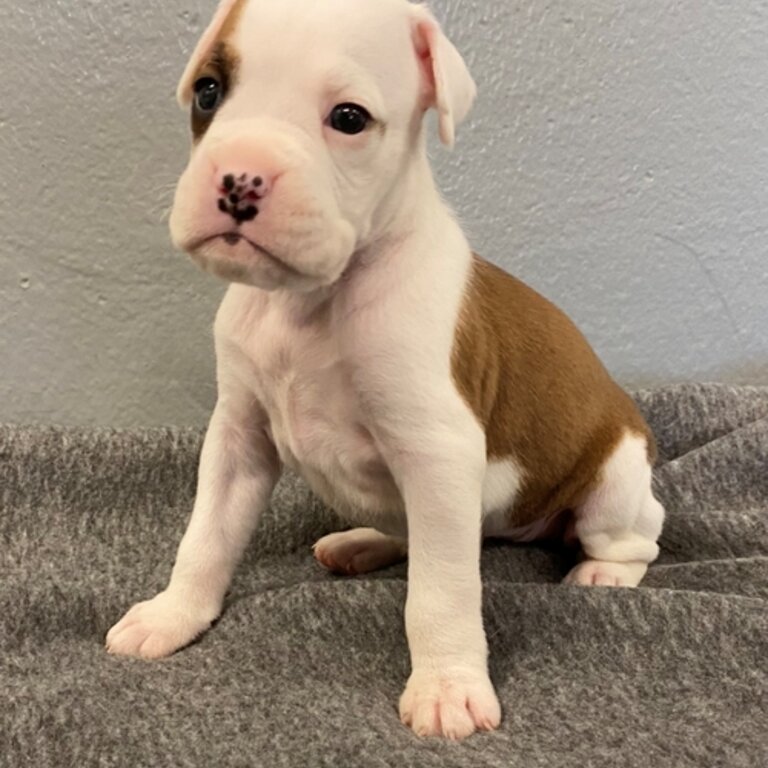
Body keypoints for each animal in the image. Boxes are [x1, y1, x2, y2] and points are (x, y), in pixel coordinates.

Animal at [105, 0, 664, 740]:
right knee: (415, 532)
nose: (240, 178)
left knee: (635, 536)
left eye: (348, 118)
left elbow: (442, 590)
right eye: (208, 92)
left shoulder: (437, 453)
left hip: (611, 482)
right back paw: (363, 542)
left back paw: (604, 573)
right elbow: (206, 537)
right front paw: (174, 614)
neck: (309, 302)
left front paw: (448, 684)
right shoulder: (238, 439)